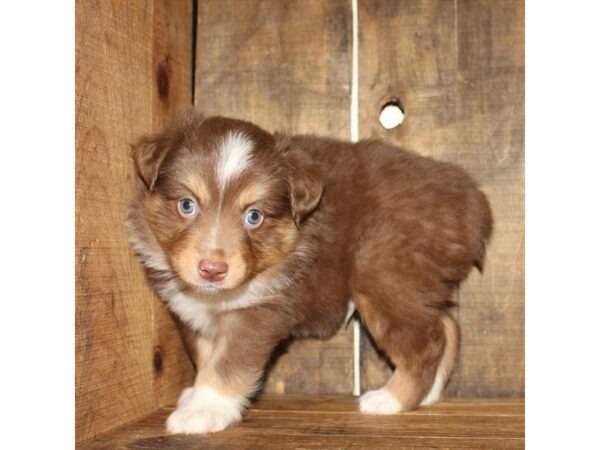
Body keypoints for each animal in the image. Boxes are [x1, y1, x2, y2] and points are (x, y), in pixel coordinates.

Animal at [126, 110, 492, 434]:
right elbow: (206, 355)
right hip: (417, 284)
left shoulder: (258, 312)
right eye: (186, 205)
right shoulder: (193, 314)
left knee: (426, 342)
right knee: (446, 326)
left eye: (254, 216)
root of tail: (470, 201)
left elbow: (227, 363)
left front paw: (204, 411)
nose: (212, 270)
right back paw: (429, 394)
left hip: (383, 274)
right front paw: (196, 396)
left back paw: (391, 399)